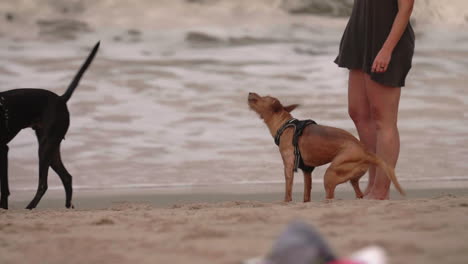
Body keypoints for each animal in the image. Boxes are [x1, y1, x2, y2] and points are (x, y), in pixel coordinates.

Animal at [0, 42, 99, 209]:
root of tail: (60, 99)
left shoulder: (3, 149)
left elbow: (3, 188)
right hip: (51, 147)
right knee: (67, 177)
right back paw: (68, 207)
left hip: (45, 146)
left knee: (43, 184)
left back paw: (30, 207)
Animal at [247, 93, 404, 202]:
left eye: (262, 98)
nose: (250, 93)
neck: (284, 125)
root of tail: (366, 152)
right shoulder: (307, 171)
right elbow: (306, 194)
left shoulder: (289, 166)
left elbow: (288, 189)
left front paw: (286, 201)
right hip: (351, 176)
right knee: (357, 192)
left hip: (330, 174)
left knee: (330, 195)